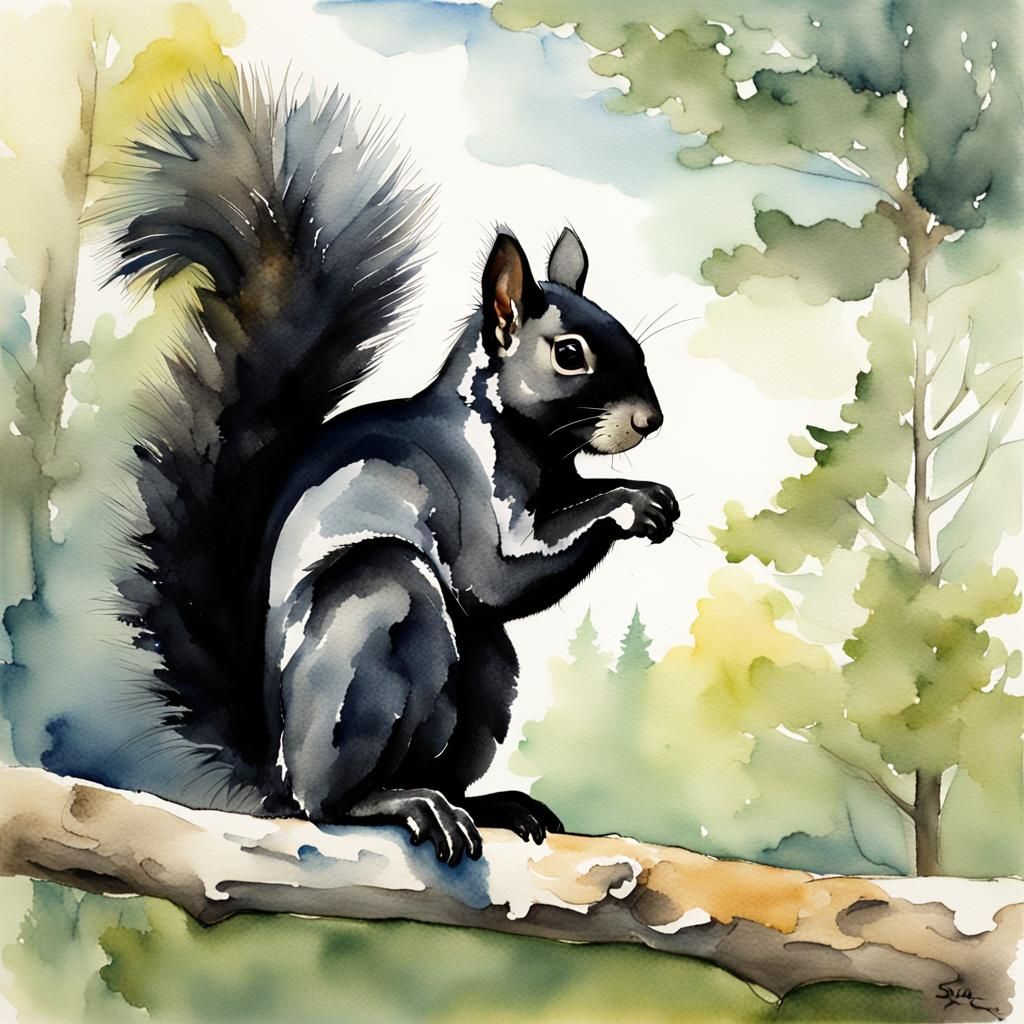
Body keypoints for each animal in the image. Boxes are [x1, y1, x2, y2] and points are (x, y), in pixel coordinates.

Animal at [102, 73, 679, 866]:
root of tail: (275, 769)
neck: (537, 450)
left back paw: (488, 803)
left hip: (487, 675)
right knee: (329, 801)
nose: (651, 420)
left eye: (636, 343)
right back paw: (396, 802)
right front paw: (633, 500)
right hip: (377, 610)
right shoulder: (466, 488)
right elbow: (496, 576)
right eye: (569, 354)